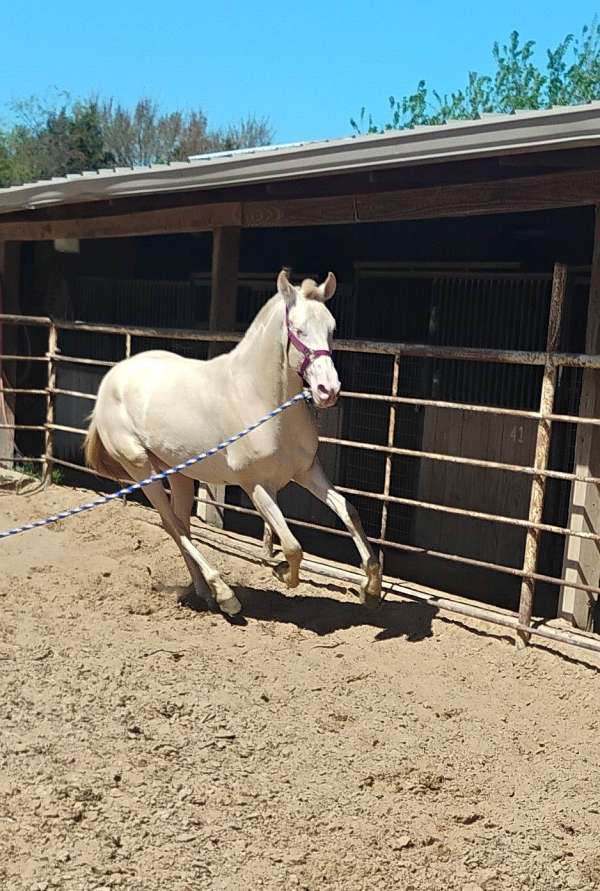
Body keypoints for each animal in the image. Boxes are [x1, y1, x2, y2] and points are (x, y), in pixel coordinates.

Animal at [84, 269, 382, 616]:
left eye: (332, 329)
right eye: (298, 329)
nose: (328, 390)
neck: (259, 398)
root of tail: (112, 379)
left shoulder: (307, 471)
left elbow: (349, 511)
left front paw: (371, 589)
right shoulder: (256, 485)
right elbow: (292, 547)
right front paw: (281, 573)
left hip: (177, 472)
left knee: (179, 524)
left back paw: (205, 592)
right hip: (142, 470)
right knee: (173, 523)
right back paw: (226, 595)